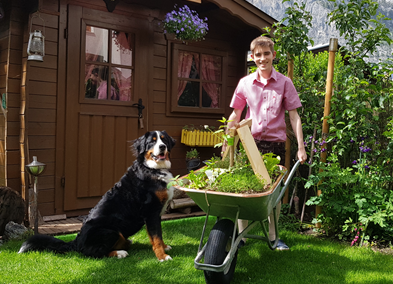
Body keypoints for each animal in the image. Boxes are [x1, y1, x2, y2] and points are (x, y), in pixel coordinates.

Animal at [19, 131, 175, 262]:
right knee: (92, 253)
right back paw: (119, 253)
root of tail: (76, 241)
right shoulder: (151, 212)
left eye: (164, 140)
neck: (152, 169)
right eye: (152, 142)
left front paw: (164, 247)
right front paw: (162, 256)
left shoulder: (157, 214)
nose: (162, 147)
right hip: (110, 231)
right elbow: (156, 237)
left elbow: (159, 235)